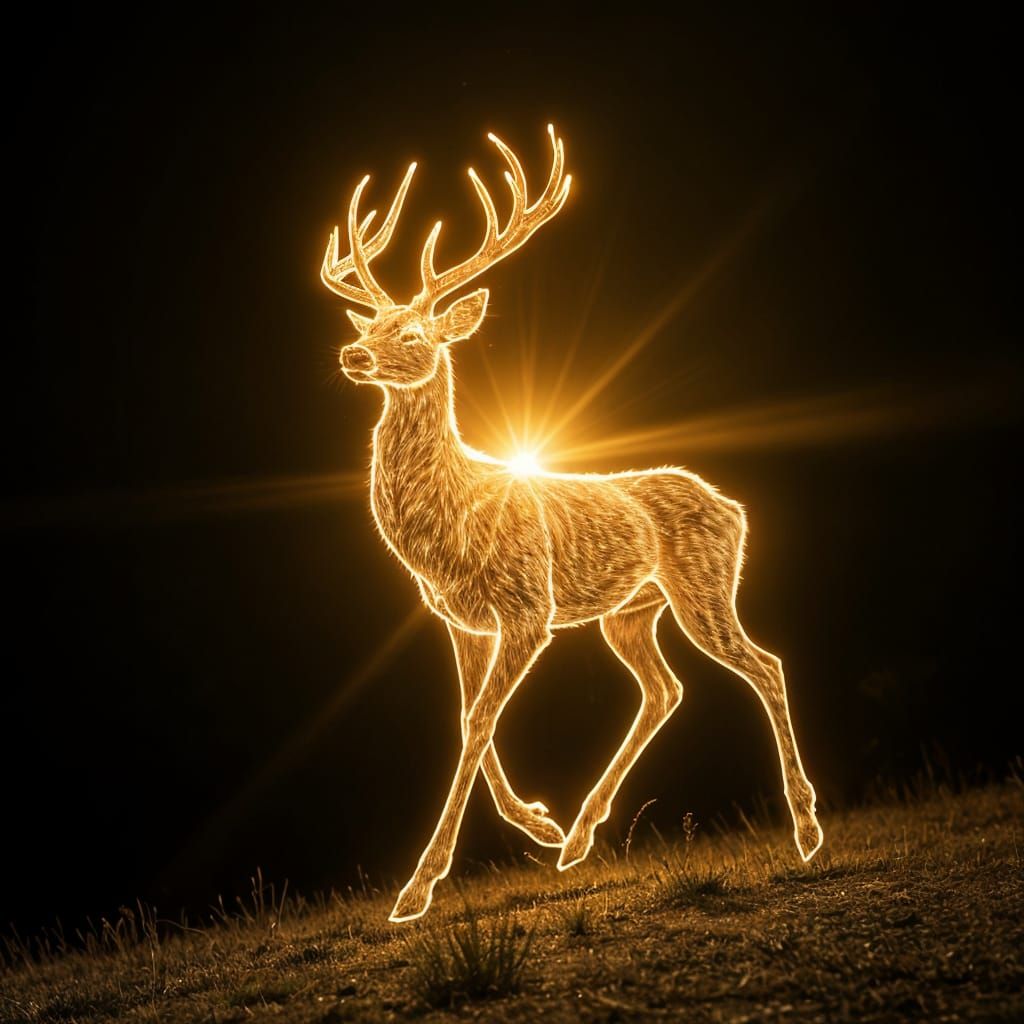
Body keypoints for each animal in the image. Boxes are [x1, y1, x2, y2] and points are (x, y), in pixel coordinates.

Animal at [320, 125, 823, 922]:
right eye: (370, 322)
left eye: (415, 332)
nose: (353, 351)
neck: (448, 526)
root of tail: (734, 506)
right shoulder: (460, 620)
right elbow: (469, 719)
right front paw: (538, 822)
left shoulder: (529, 606)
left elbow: (477, 722)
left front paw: (416, 888)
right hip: (631, 612)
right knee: (664, 688)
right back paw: (578, 837)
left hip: (703, 588)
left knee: (764, 664)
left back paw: (806, 830)